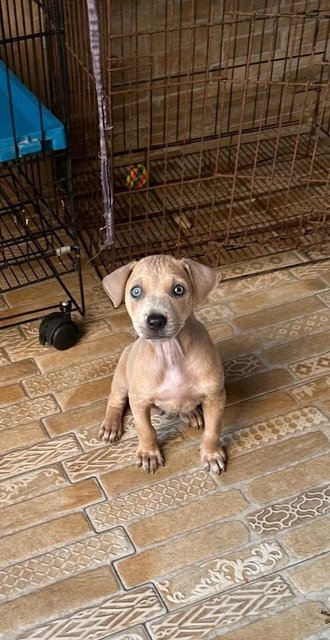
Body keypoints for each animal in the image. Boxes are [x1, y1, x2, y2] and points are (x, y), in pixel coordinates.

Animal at [99, 252, 226, 472]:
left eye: (178, 289)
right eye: (136, 291)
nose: (155, 321)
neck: (170, 353)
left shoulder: (215, 397)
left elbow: (213, 430)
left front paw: (211, 454)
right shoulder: (139, 401)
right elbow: (145, 429)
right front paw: (148, 453)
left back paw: (189, 413)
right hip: (122, 379)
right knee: (115, 400)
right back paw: (111, 425)